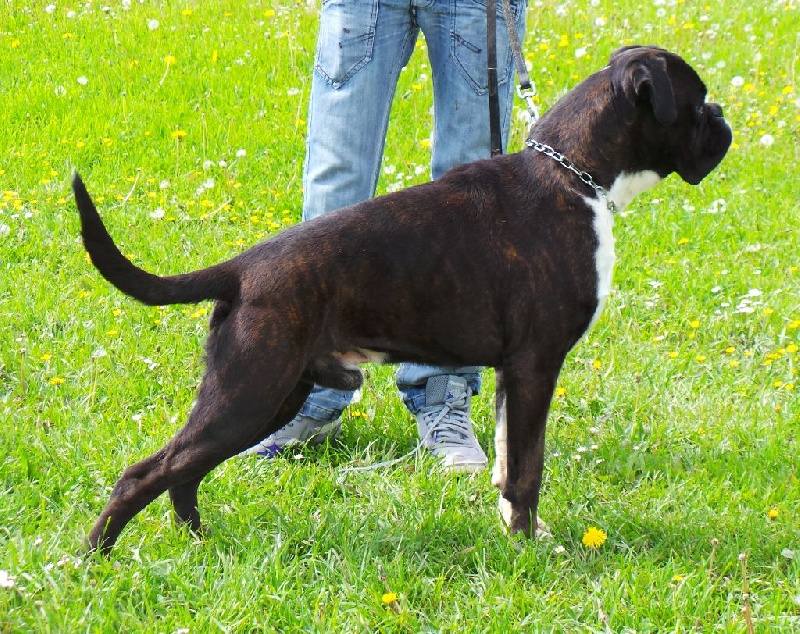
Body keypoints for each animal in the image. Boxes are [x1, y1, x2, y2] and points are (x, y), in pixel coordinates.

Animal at [73, 46, 731, 554]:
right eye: (697, 101)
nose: (723, 116)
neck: (576, 175)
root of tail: (242, 268)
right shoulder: (536, 365)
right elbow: (528, 466)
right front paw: (529, 548)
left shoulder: (512, 374)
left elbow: (506, 460)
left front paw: (520, 532)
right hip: (250, 391)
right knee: (146, 472)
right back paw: (92, 560)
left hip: (269, 396)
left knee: (184, 471)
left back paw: (197, 540)